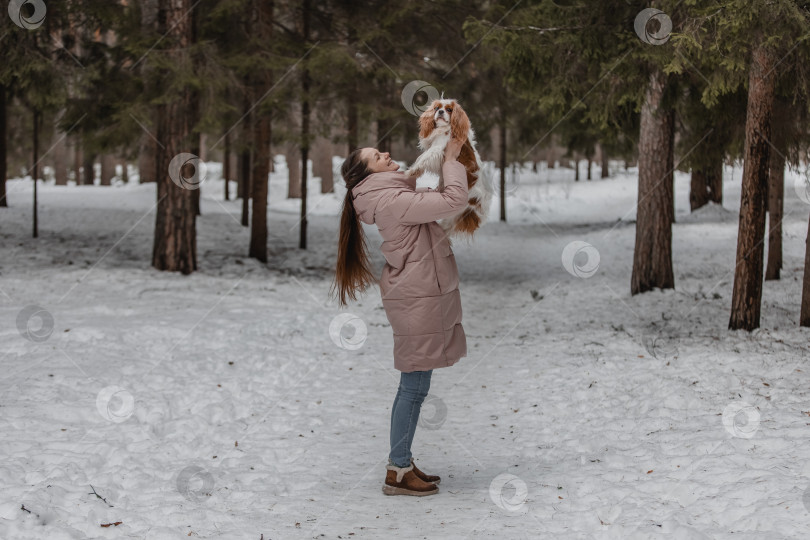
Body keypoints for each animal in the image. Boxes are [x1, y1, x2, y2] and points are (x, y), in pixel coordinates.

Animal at [408, 97, 490, 240]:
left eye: (449, 110)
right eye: (437, 108)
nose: (440, 111)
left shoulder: (437, 148)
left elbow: (423, 158)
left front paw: (411, 171)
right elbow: (421, 157)